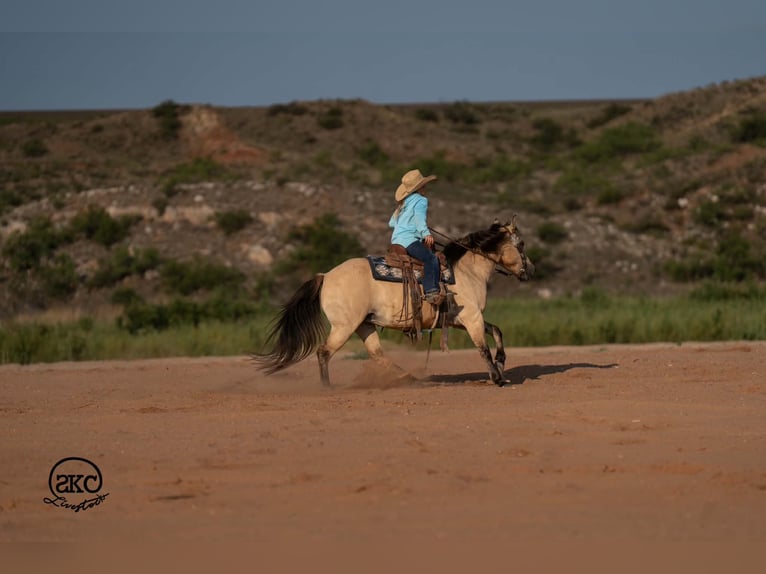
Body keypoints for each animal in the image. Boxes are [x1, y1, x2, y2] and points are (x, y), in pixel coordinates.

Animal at [253, 219, 534, 387]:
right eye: (521, 244)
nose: (530, 270)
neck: (465, 271)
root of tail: (326, 276)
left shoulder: (461, 319)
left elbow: (496, 331)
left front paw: (502, 364)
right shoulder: (471, 317)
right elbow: (482, 347)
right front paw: (497, 377)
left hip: (364, 325)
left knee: (377, 354)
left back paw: (409, 378)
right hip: (344, 327)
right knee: (324, 352)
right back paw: (327, 387)